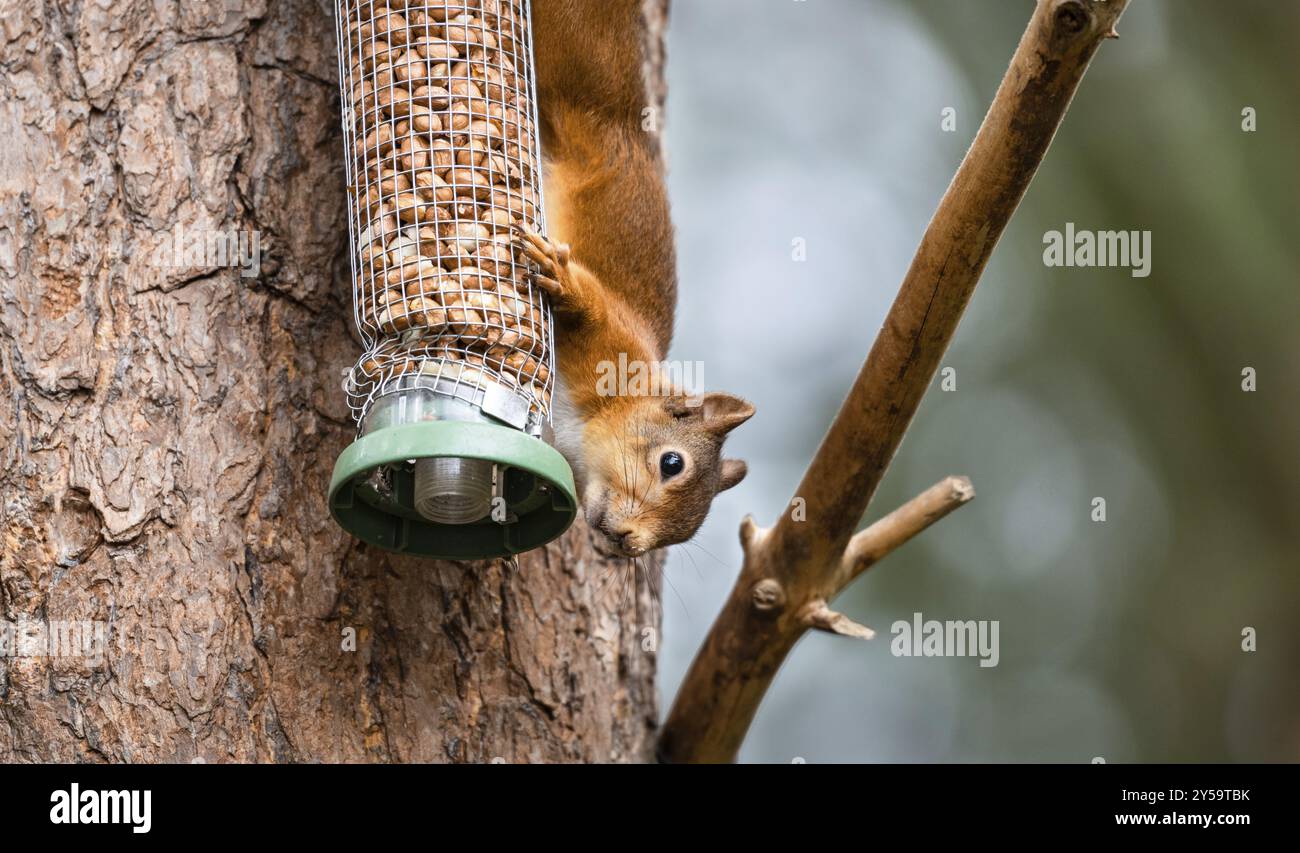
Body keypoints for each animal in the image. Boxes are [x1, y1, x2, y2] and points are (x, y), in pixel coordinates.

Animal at [525, 1, 759, 559]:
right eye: (671, 463)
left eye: (687, 532)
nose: (627, 542)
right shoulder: (616, 343)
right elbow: (591, 308)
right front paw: (564, 280)